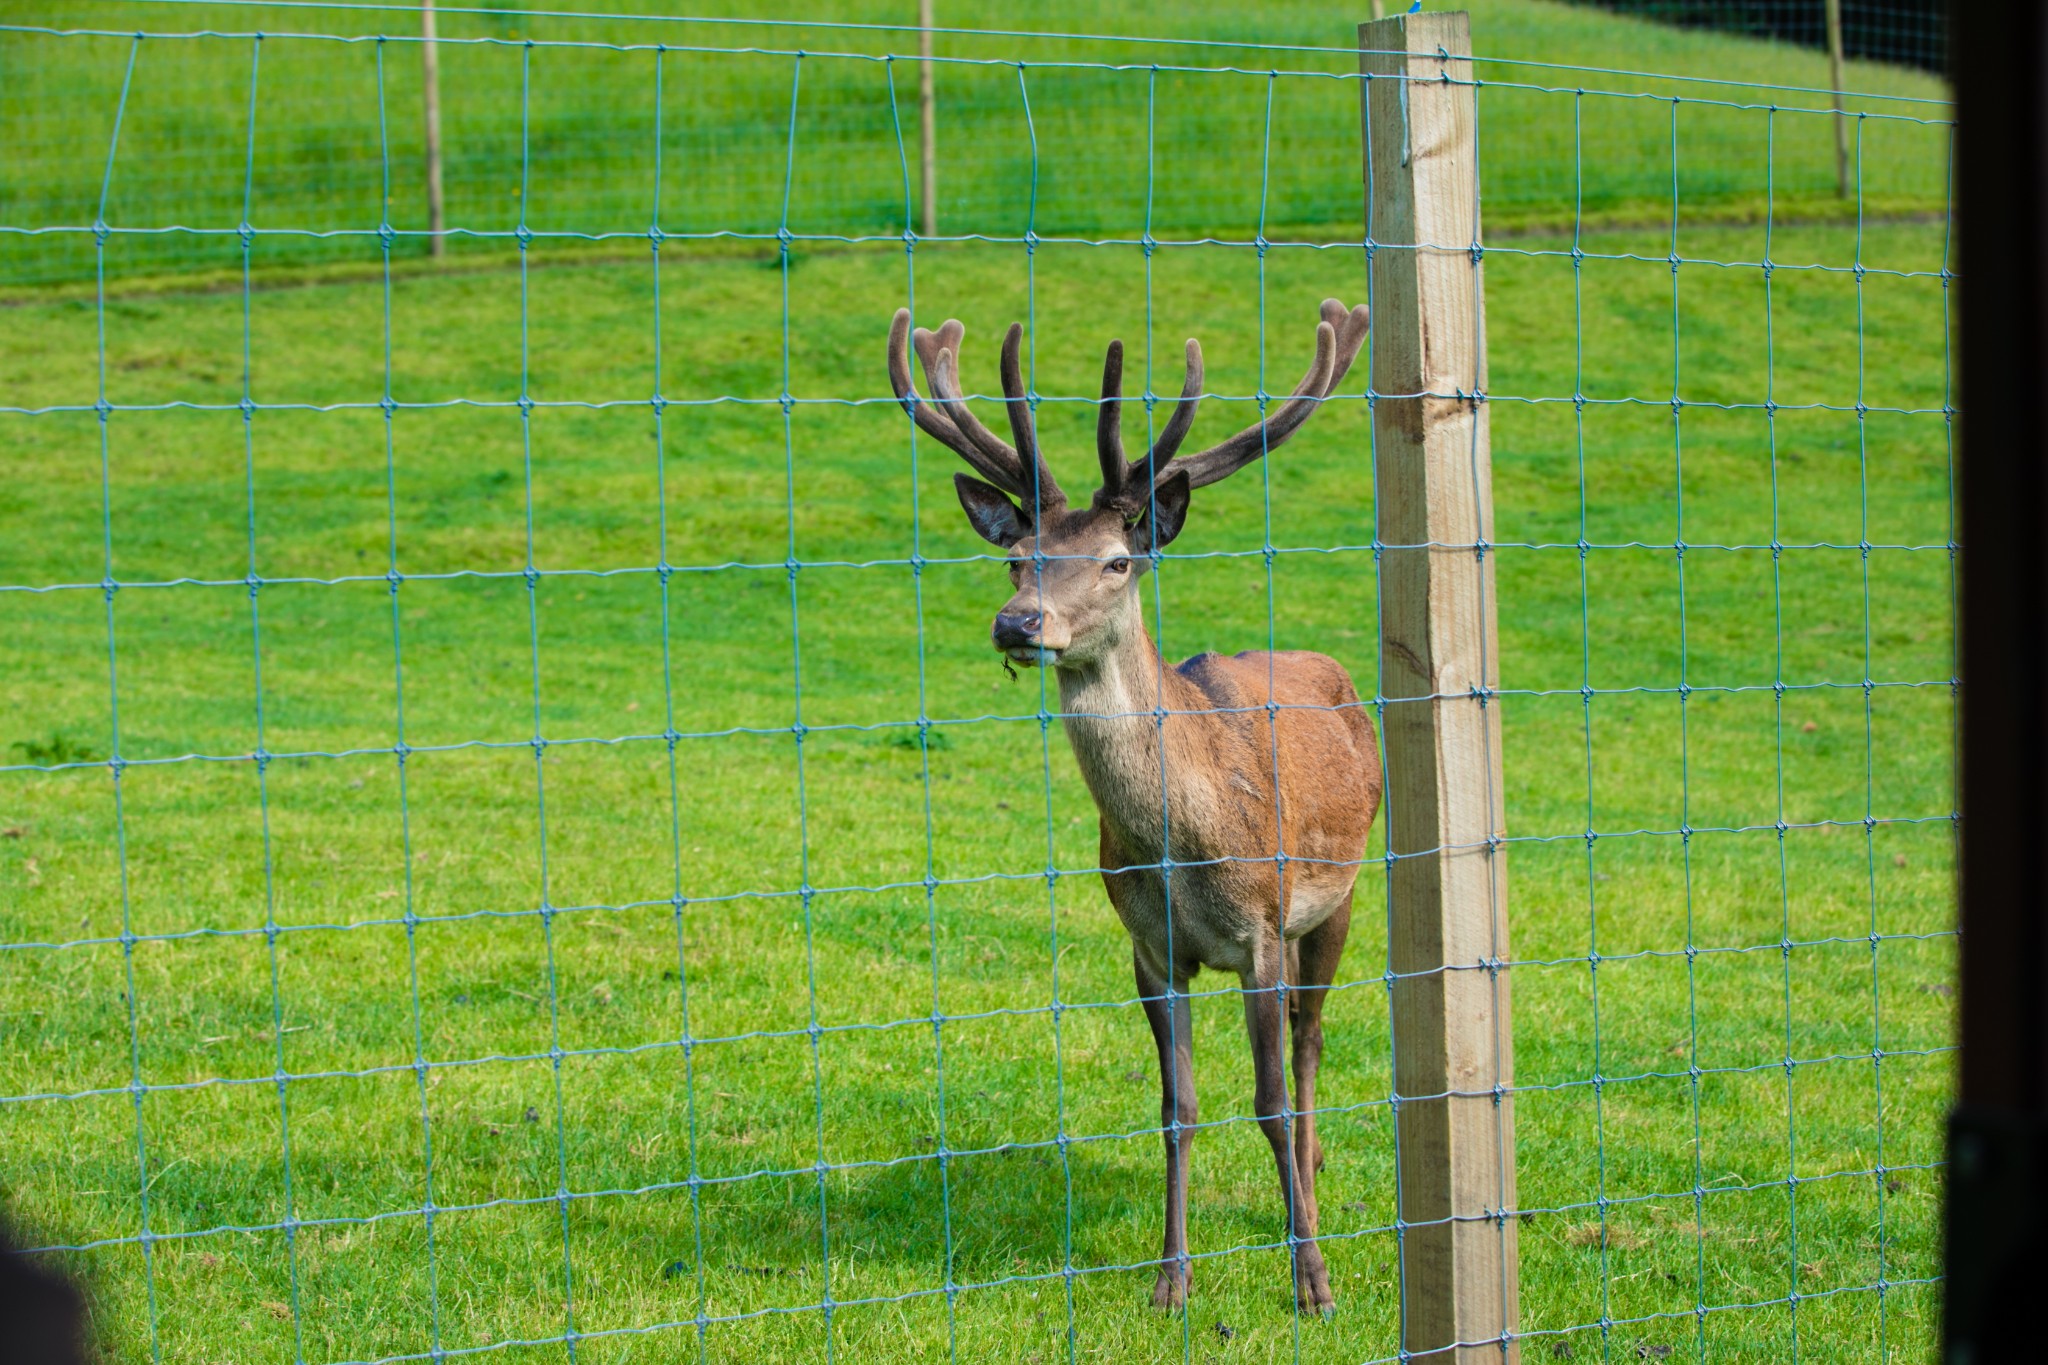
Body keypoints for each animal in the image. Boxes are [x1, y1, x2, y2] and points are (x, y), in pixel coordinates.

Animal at [888, 300, 1384, 1309]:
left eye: (1118, 561)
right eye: (1017, 561)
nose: (1019, 624)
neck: (1178, 850)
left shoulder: (1261, 930)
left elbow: (1270, 1101)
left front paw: (1310, 1280)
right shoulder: (1150, 946)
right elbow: (1176, 1108)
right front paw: (1169, 1281)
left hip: (1343, 892)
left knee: (1312, 1041)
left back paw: (1314, 1194)